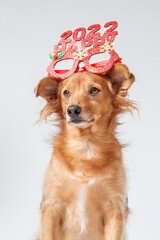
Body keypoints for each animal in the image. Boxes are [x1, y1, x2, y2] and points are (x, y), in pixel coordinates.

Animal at [34, 62, 135, 239]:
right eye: (66, 92)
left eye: (94, 90)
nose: (72, 110)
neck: (86, 148)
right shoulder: (52, 206)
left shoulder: (115, 208)